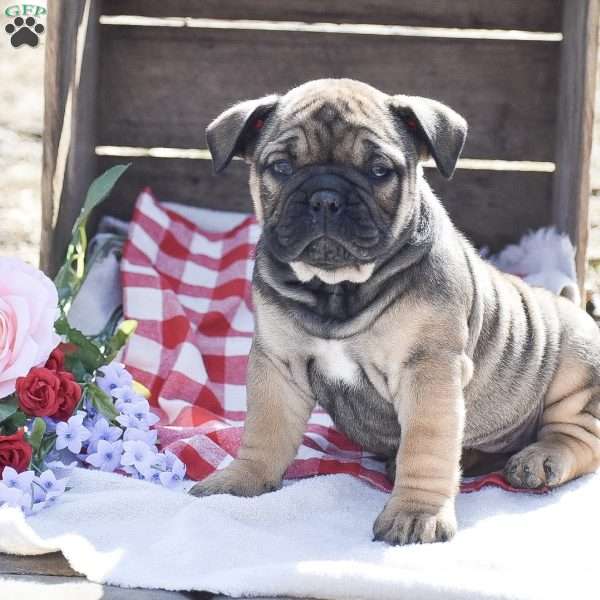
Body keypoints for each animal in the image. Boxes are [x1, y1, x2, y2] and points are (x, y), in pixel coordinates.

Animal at [191, 78, 600, 544]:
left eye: (378, 171)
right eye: (280, 167)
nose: (325, 198)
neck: (336, 289)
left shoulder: (428, 370)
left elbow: (426, 446)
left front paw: (415, 513)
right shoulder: (277, 364)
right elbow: (265, 430)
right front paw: (240, 480)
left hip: (576, 365)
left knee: (578, 434)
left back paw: (540, 459)